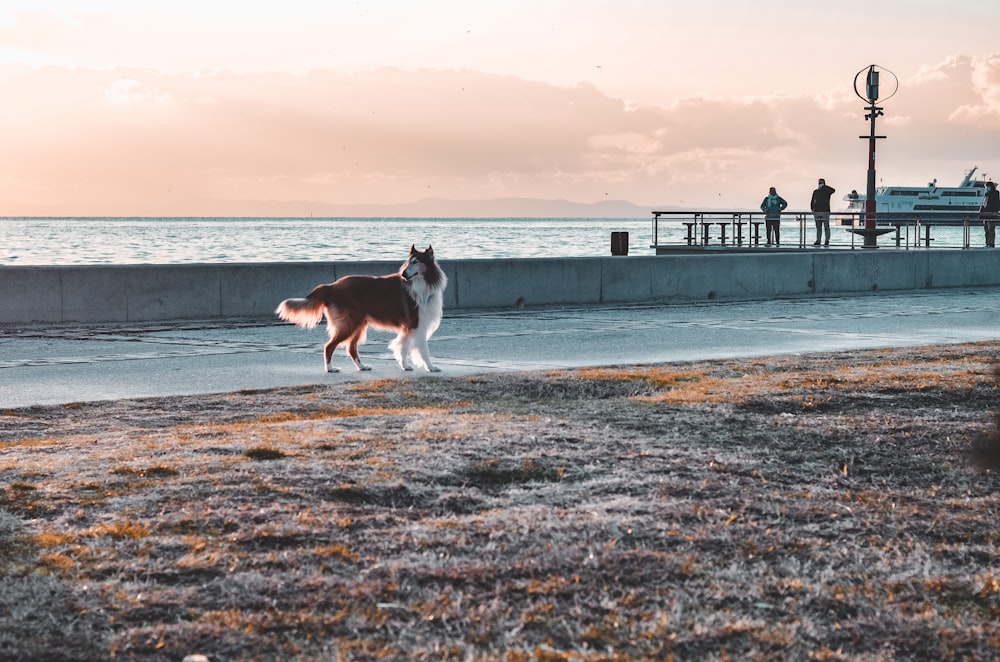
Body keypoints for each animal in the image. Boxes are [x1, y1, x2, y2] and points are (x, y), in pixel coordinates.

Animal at [274, 246, 446, 376]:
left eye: (416, 262)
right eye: (408, 262)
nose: (403, 274)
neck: (421, 282)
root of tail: (331, 286)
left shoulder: (408, 327)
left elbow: (402, 346)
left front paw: (405, 366)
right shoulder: (418, 325)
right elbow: (423, 350)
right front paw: (431, 367)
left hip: (358, 324)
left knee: (351, 348)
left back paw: (362, 367)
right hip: (349, 324)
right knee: (329, 346)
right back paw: (330, 369)